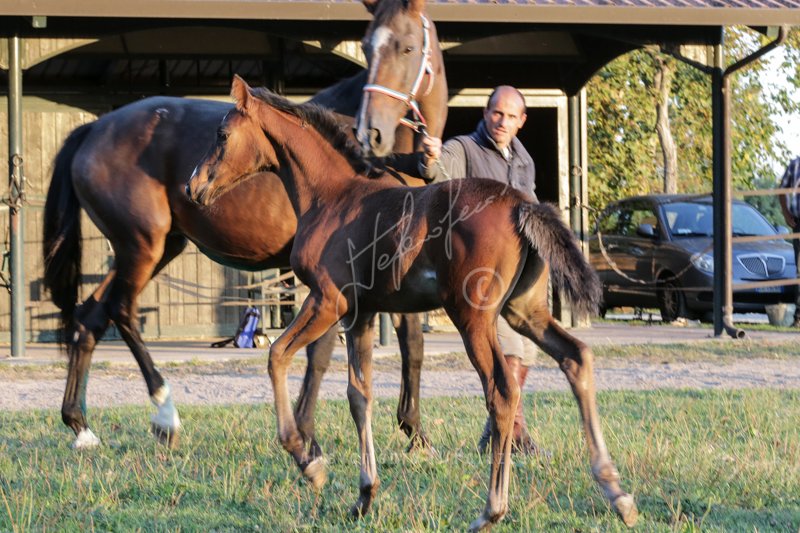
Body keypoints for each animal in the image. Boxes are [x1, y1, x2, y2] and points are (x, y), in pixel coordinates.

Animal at [41, 0, 447, 451]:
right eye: (366, 46)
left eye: (408, 46)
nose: (371, 132)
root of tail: (93, 128)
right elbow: (325, 351)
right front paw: (308, 432)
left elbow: (411, 343)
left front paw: (415, 432)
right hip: (141, 246)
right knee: (121, 311)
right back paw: (165, 415)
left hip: (157, 247)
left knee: (89, 316)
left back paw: (80, 425)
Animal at [186, 77, 638, 531]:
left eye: (222, 134)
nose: (192, 187)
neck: (333, 195)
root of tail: (522, 205)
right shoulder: (361, 312)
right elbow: (359, 395)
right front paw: (364, 496)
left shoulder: (328, 301)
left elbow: (278, 355)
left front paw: (308, 461)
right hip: (525, 311)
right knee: (576, 357)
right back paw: (617, 493)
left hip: (473, 317)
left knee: (502, 390)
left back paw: (491, 509)